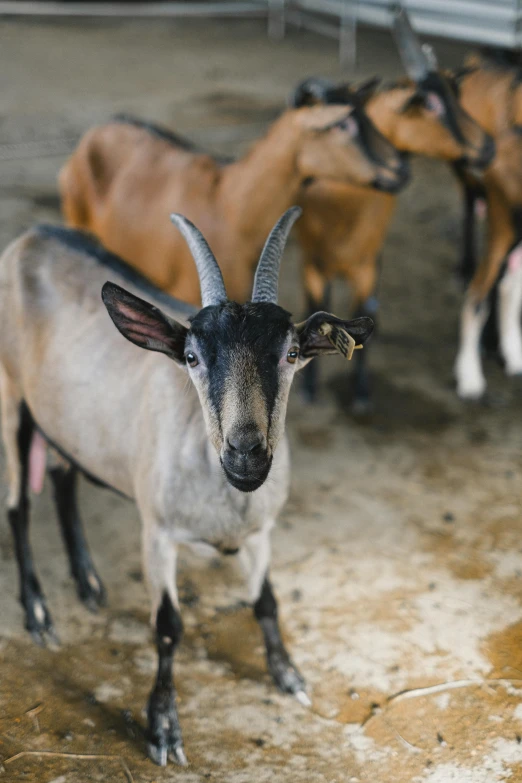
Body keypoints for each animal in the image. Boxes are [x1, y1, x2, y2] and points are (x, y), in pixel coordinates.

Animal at [1, 208, 374, 764]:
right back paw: (40, 613)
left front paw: (289, 676)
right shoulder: (157, 533)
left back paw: (88, 583)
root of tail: (31, 235)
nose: (245, 452)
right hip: (12, 399)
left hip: (67, 417)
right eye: (193, 358)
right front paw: (163, 730)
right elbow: (168, 628)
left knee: (66, 479)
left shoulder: (261, 532)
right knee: (18, 503)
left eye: (291, 353)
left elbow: (266, 602)